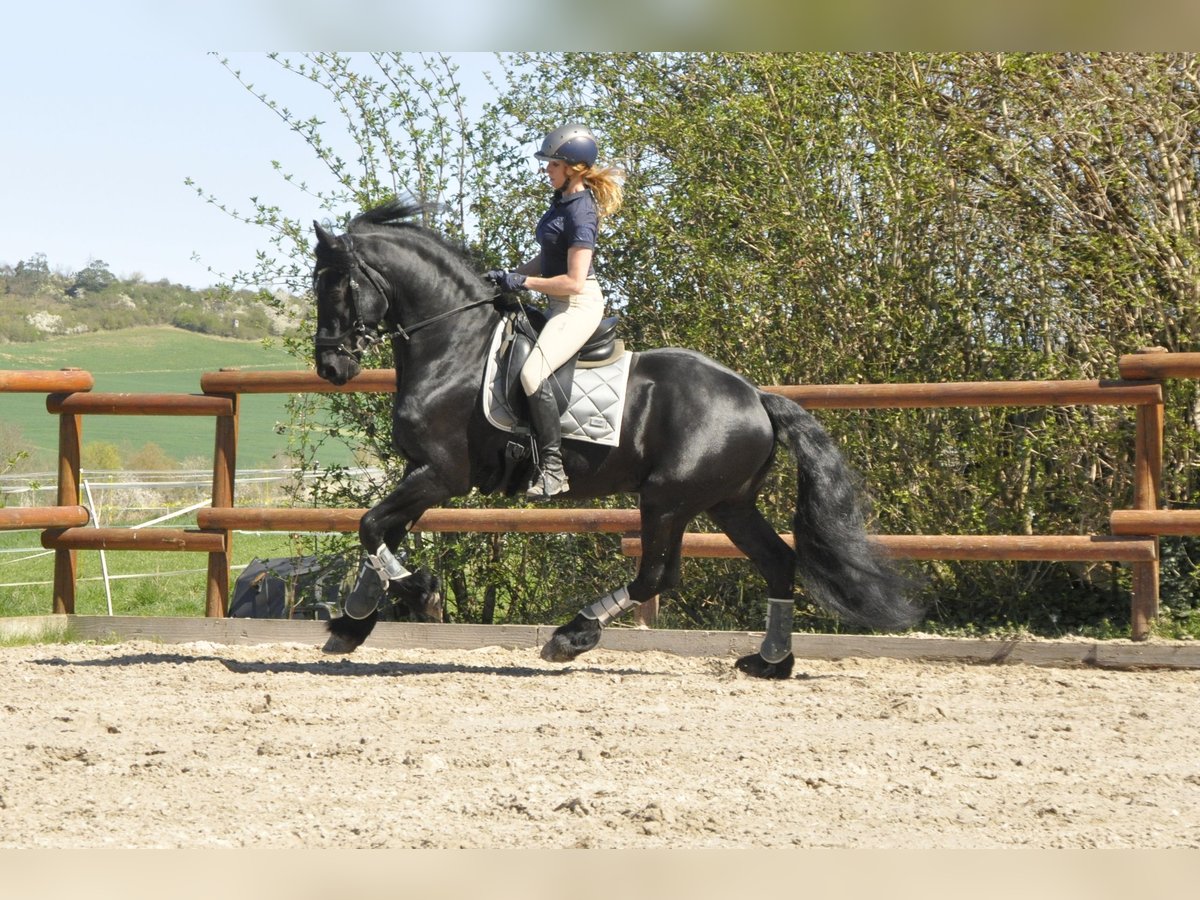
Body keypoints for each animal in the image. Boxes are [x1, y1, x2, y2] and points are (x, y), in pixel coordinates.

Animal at [311, 198, 921, 679]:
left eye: (337, 285)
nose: (330, 367)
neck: (453, 344)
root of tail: (755, 397)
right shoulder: (419, 471)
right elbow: (378, 532)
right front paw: (354, 620)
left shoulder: (441, 474)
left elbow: (370, 527)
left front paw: (420, 595)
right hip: (728, 503)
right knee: (777, 563)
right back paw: (771, 661)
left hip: (668, 499)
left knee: (658, 574)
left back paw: (572, 635)